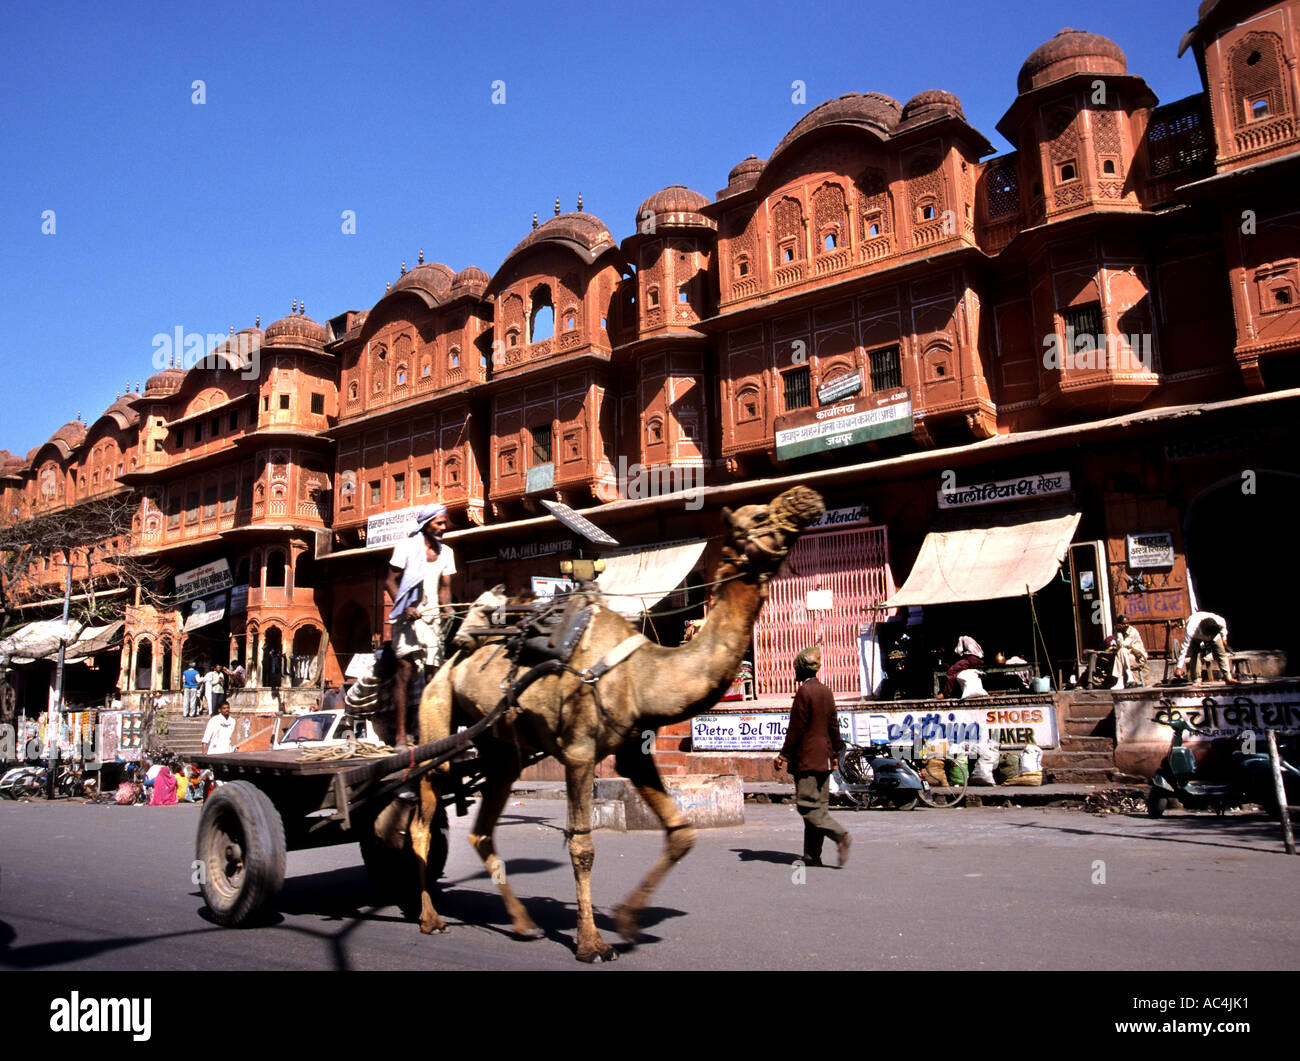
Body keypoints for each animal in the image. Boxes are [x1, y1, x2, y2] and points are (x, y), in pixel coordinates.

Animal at [407, 485, 825, 962]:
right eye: (758, 517)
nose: (805, 497)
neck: (642, 676)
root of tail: (447, 662)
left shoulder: (633, 752)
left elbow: (682, 834)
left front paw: (627, 920)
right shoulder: (579, 752)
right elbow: (582, 844)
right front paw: (592, 943)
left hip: (500, 750)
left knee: (481, 829)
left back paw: (522, 923)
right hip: (437, 714)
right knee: (423, 817)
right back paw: (430, 918)